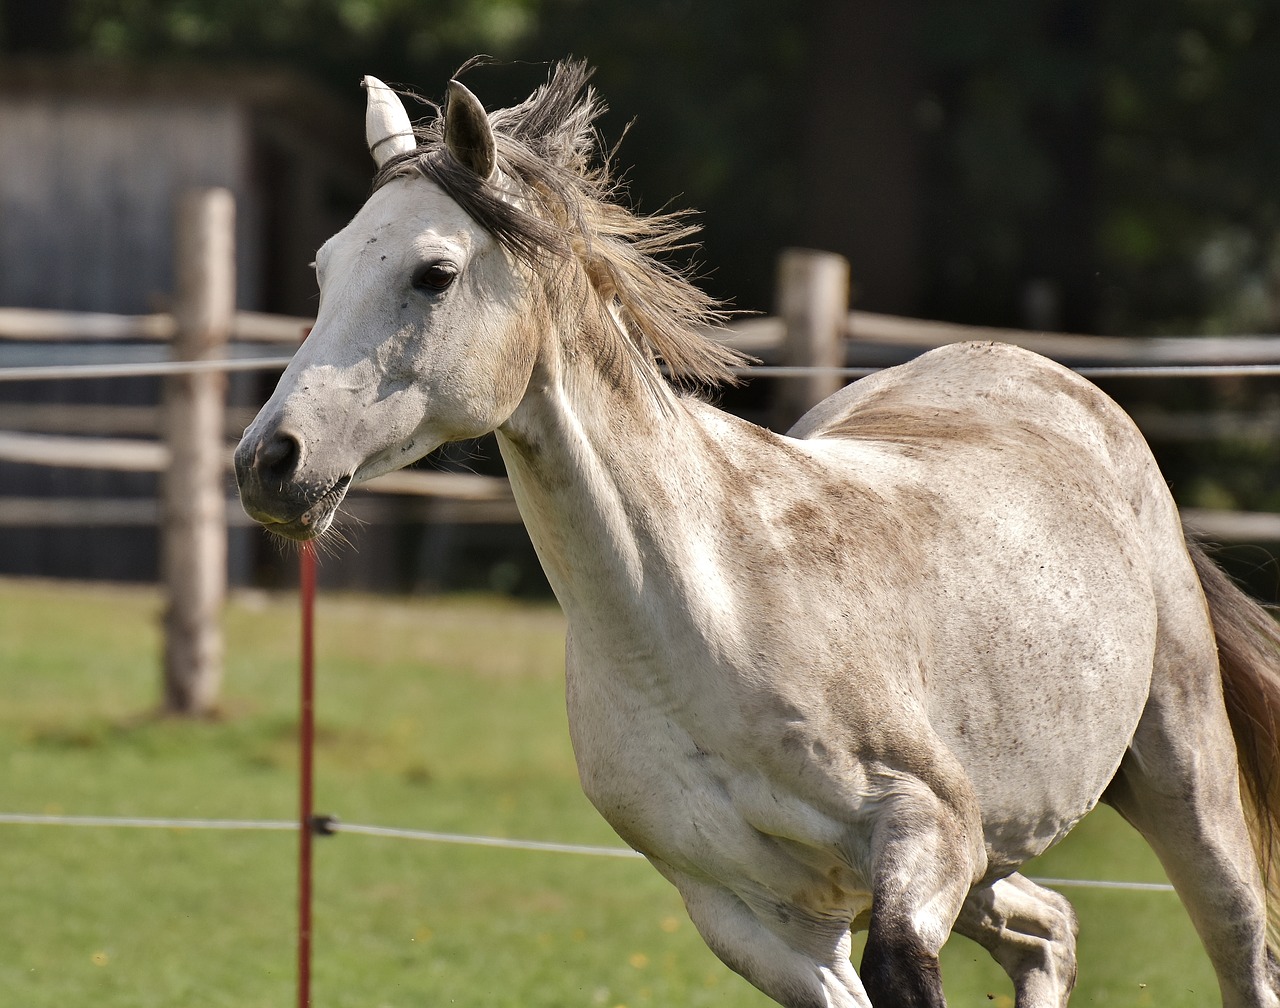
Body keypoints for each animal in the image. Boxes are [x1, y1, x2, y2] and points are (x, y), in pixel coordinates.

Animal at [235, 63, 1280, 1008]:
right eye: (325, 269)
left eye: (435, 273)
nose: (269, 462)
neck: (703, 613)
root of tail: (1049, 378)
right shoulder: (755, 916)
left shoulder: (928, 830)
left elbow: (905, 974)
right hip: (996, 856)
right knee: (1051, 932)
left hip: (1177, 780)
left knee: (1241, 948)